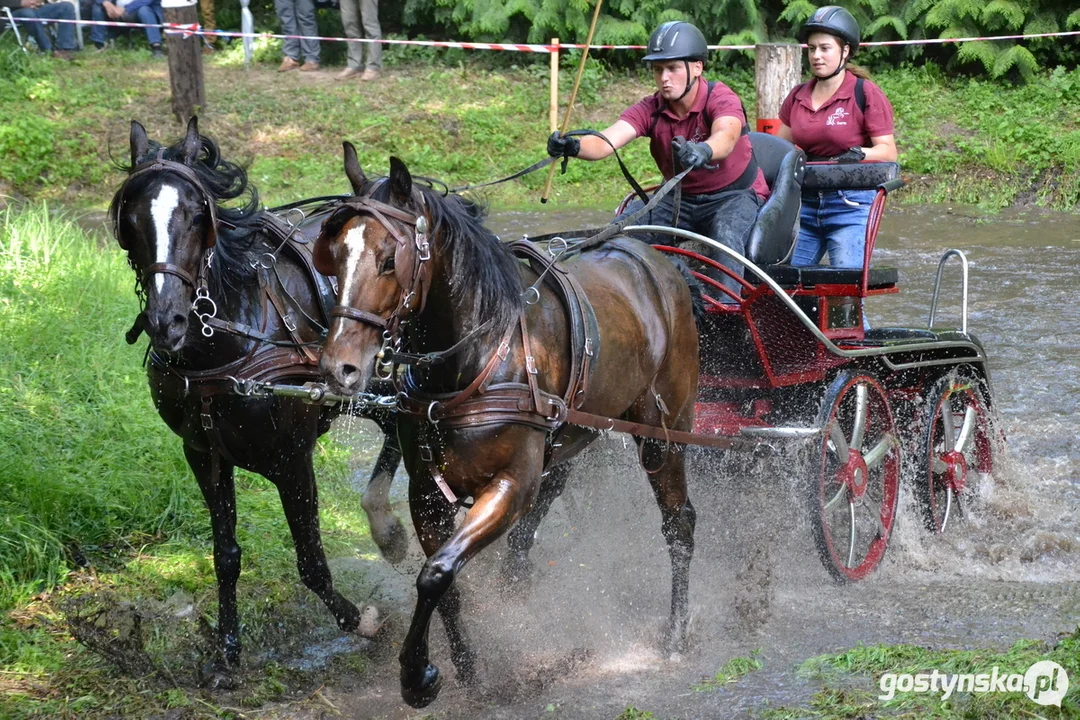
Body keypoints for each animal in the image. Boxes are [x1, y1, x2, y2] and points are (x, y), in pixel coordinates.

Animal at [111, 117, 408, 677]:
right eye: (132, 219)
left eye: (195, 215)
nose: (167, 322)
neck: (228, 338)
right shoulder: (203, 454)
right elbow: (225, 556)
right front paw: (228, 648)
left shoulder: (291, 460)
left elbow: (311, 562)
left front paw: (358, 620)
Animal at [315, 153, 699, 708]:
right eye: (337, 257)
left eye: (390, 260)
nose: (338, 367)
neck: (476, 355)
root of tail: (655, 259)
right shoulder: (425, 493)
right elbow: (445, 584)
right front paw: (468, 670)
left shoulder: (510, 485)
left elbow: (436, 573)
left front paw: (417, 674)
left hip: (662, 434)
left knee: (678, 524)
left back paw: (674, 634)